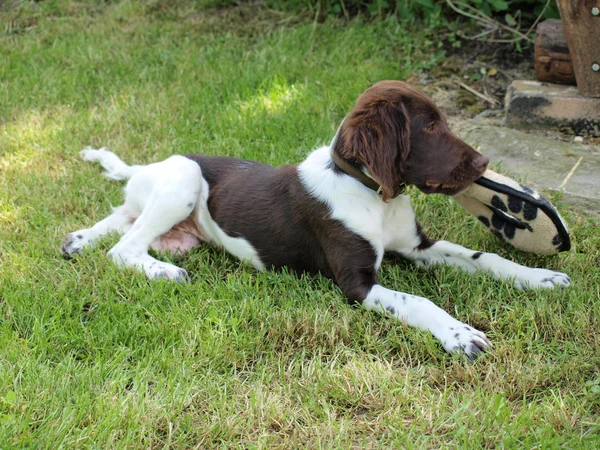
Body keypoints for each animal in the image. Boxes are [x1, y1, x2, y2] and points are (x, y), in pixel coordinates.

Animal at [63, 81, 568, 358]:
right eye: (428, 127)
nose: (485, 164)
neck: (374, 195)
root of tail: (147, 168)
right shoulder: (356, 283)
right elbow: (420, 302)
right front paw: (461, 336)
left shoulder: (417, 247)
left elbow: (484, 258)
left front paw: (538, 277)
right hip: (185, 180)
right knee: (124, 247)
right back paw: (163, 271)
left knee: (121, 218)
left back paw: (77, 240)